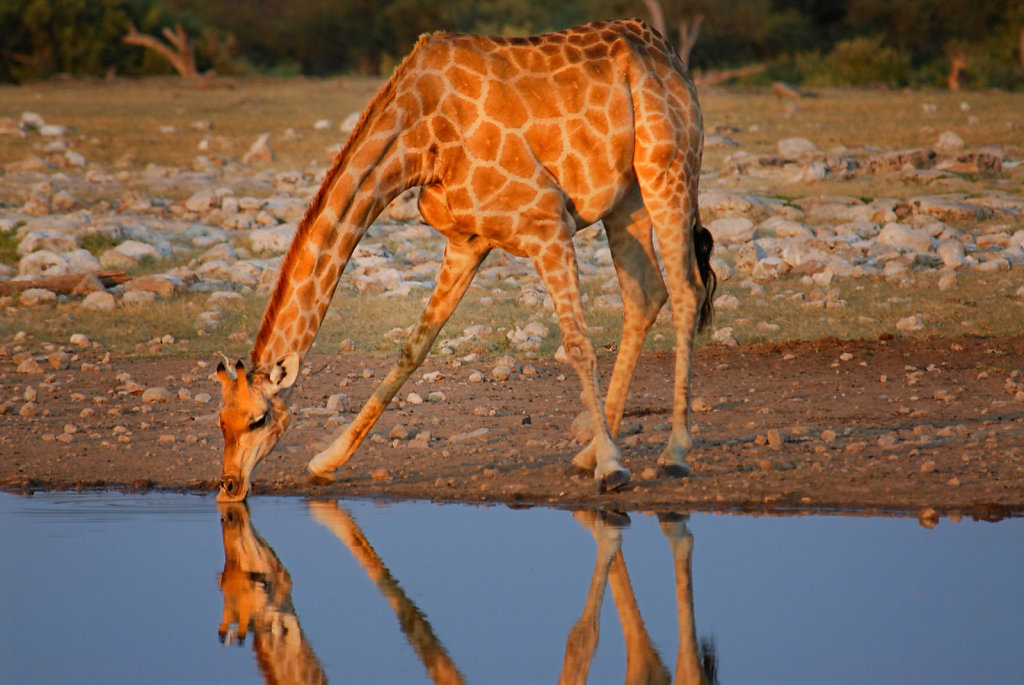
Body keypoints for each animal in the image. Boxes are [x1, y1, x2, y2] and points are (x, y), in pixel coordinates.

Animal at [216, 20, 712, 501]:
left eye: (259, 419)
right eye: (220, 420)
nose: (229, 486)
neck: (419, 141)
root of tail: (672, 57)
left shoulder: (547, 225)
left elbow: (577, 345)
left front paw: (613, 468)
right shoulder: (466, 241)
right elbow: (413, 347)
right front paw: (325, 461)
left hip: (668, 170)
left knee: (686, 290)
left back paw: (671, 454)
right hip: (626, 200)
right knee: (646, 295)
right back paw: (587, 454)